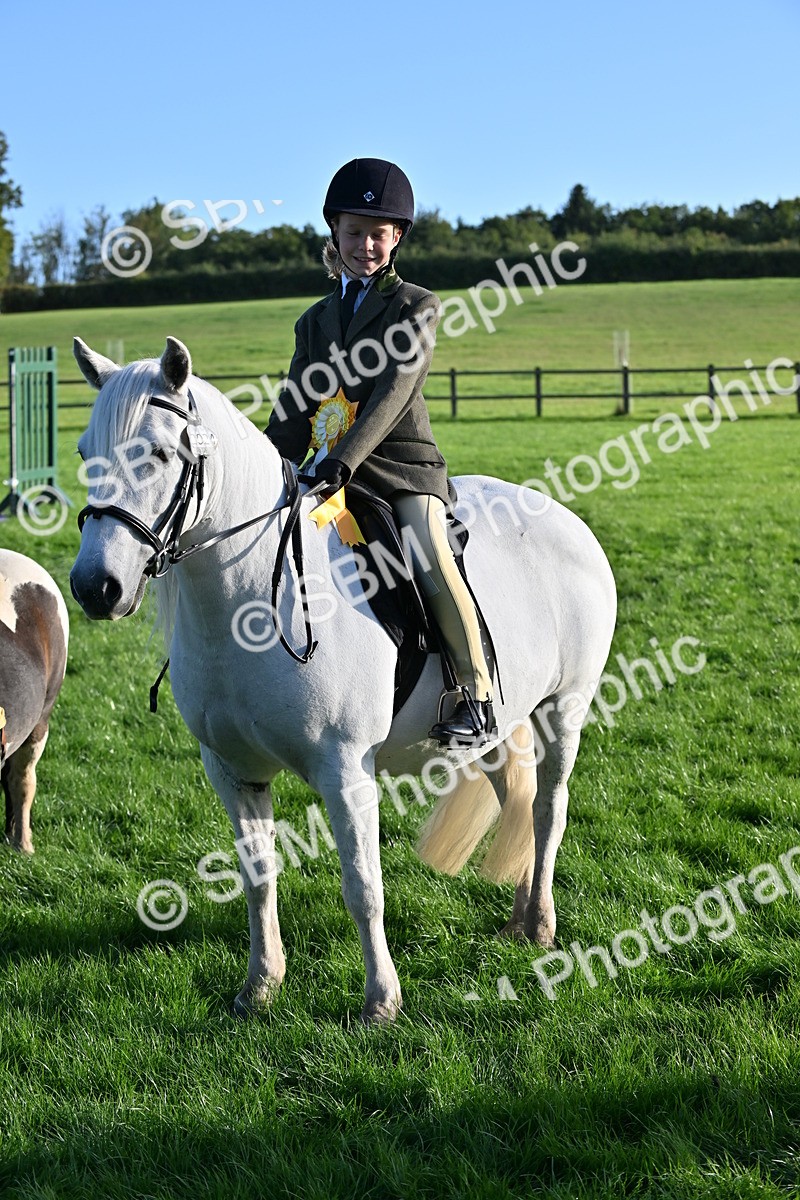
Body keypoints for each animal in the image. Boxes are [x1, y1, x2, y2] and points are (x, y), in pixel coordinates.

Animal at [69, 336, 617, 1024]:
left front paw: (381, 1001)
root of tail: (567, 520)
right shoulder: (231, 770)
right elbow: (258, 877)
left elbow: (362, 885)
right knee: (514, 797)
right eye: (85, 452)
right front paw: (260, 987)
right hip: (500, 723)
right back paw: (519, 919)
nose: (95, 587)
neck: (248, 602)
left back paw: (540, 923)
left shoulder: (344, 767)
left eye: (161, 454)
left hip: (563, 710)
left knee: (548, 808)